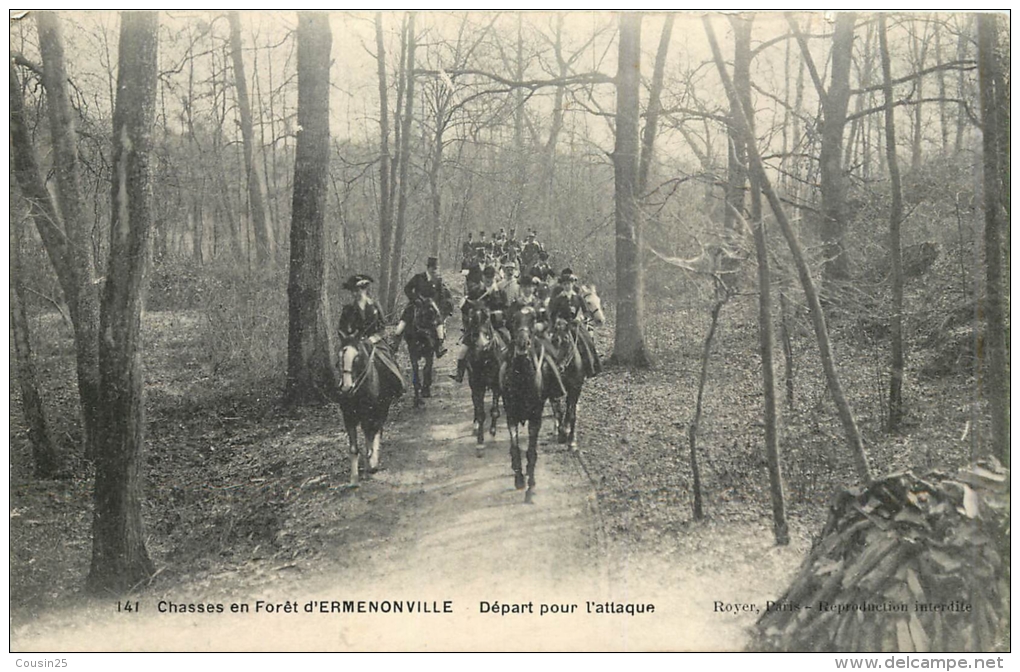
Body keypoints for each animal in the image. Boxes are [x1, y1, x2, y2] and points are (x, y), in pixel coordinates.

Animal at [336, 338, 403, 485]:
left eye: (357, 357)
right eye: (340, 357)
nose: (346, 388)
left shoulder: (369, 415)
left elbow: (369, 438)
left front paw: (370, 465)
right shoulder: (348, 417)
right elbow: (354, 448)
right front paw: (354, 479)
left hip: (383, 408)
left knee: (377, 430)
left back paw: (373, 461)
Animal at [467, 301, 505, 452]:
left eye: (488, 318)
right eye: (471, 318)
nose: (481, 346)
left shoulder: (497, 385)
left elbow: (494, 411)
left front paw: (492, 435)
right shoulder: (478, 385)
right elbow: (481, 413)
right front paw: (480, 442)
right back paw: (475, 424)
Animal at [497, 307, 563, 501]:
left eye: (533, 319)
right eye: (513, 319)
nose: (522, 344)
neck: (522, 376)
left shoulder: (536, 417)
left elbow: (531, 451)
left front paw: (531, 484)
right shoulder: (511, 415)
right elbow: (515, 446)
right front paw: (519, 478)